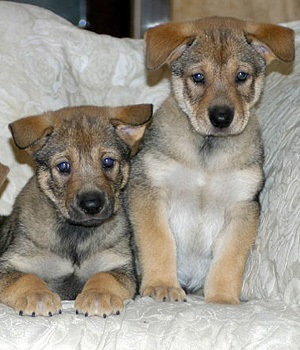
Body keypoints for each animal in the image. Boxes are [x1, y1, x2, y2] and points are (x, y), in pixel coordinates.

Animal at [0, 104, 152, 318]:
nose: (92, 205)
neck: (76, 236)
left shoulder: (119, 266)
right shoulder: (14, 263)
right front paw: (37, 296)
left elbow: (104, 277)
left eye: (108, 162)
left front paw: (98, 295)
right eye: (64, 166)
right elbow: (26, 278)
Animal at [127, 16, 294, 304]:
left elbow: (230, 259)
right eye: (198, 77)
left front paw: (223, 299)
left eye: (241, 76)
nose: (221, 117)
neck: (207, 156)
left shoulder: (242, 207)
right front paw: (162, 285)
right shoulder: (149, 192)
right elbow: (159, 242)